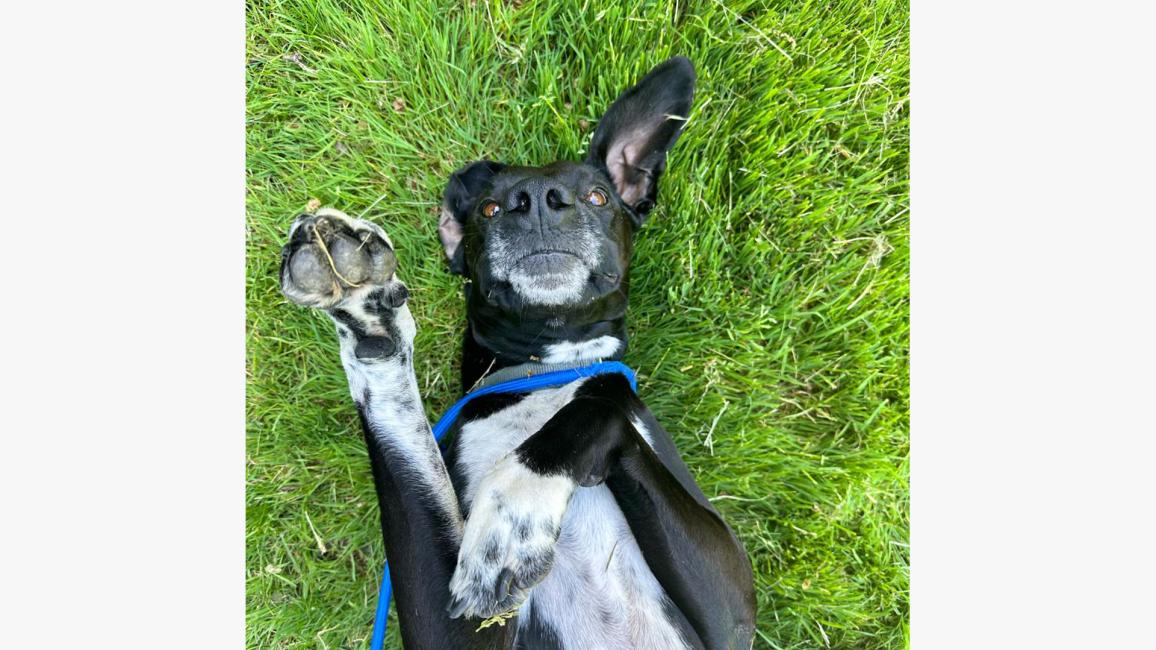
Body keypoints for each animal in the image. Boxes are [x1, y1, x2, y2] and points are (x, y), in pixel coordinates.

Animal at [275, 56, 753, 647]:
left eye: (598, 196)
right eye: (488, 207)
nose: (538, 203)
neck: (540, 373)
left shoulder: (732, 609)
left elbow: (599, 400)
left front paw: (511, 517)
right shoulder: (451, 631)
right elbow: (402, 427)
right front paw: (367, 310)